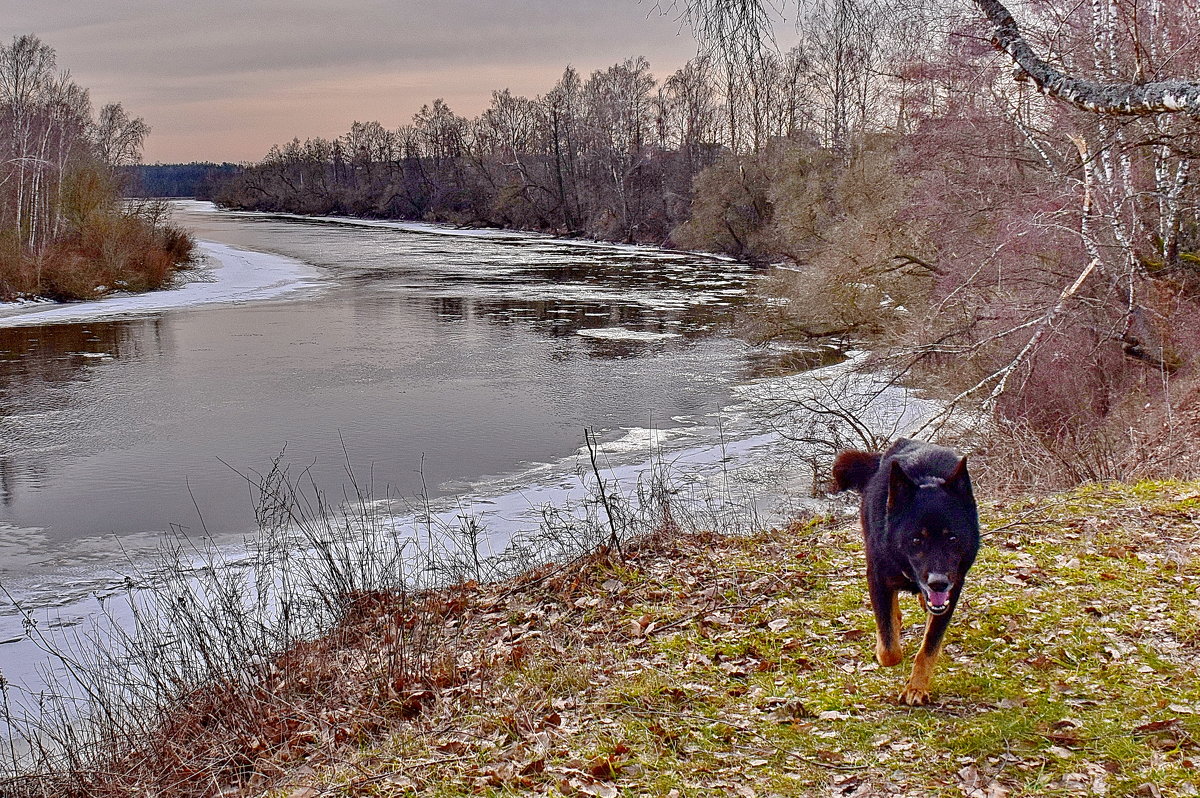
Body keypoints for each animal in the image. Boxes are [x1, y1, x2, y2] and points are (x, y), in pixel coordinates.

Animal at [830, 436, 979, 705]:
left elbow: (929, 646)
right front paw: (887, 645)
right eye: (916, 540)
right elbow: (889, 650)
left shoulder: (953, 588)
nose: (938, 583)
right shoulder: (877, 578)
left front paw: (916, 687)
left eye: (952, 538)